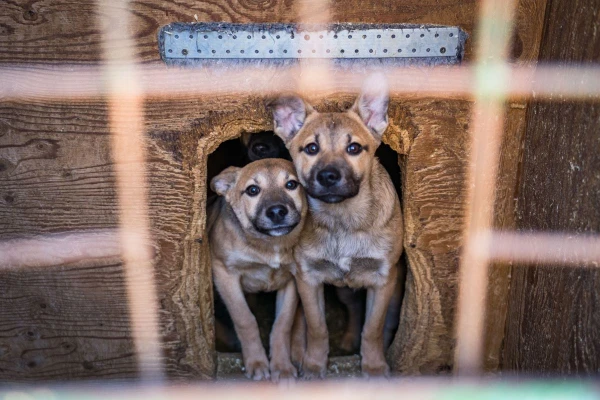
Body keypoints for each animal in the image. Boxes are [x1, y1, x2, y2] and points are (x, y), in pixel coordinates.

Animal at [207, 157, 310, 382]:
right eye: (253, 190)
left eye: (291, 184)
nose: (277, 212)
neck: (269, 245)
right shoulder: (224, 273)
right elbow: (245, 319)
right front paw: (256, 362)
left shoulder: (292, 279)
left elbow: (283, 323)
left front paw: (282, 366)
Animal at [270, 75, 404, 378]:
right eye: (311, 148)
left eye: (354, 148)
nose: (328, 176)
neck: (343, 221)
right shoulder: (308, 279)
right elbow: (318, 328)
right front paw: (314, 364)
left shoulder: (383, 279)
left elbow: (373, 328)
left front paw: (374, 366)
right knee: (353, 310)